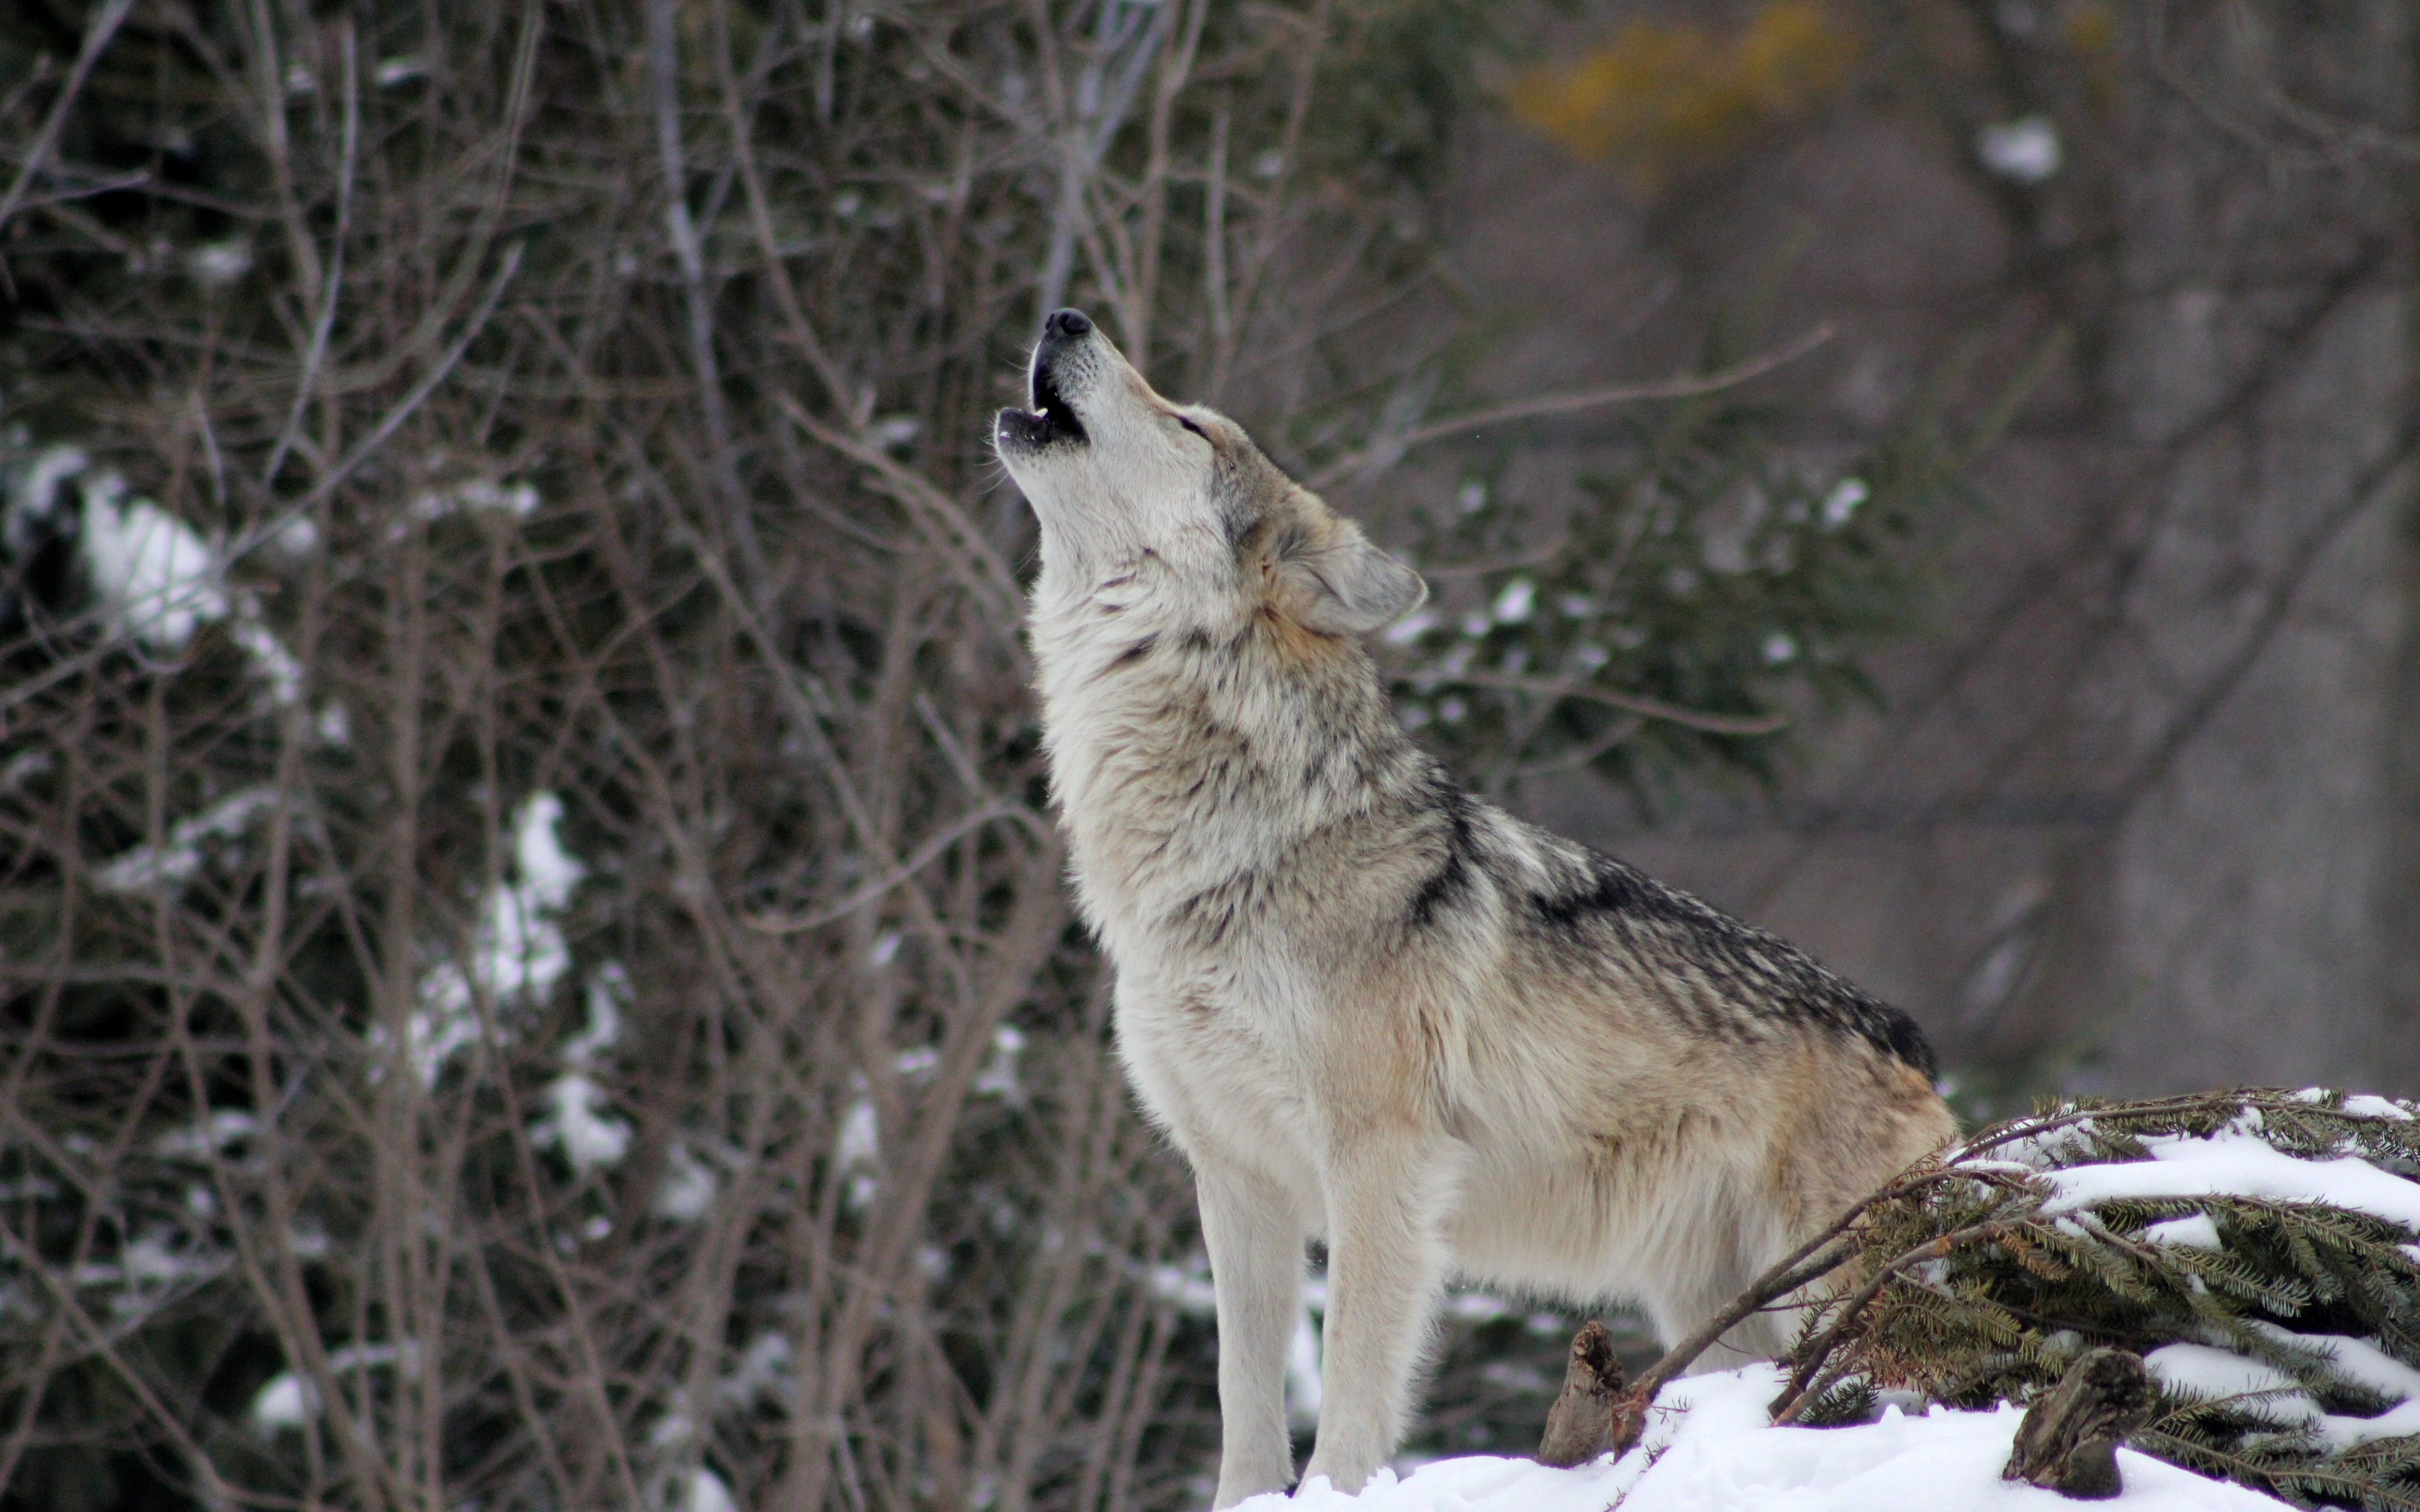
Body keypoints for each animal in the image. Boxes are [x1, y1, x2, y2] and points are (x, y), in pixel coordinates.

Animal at [993, 309, 1955, 1505]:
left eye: (1190, 424)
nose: (1064, 316)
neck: (1231, 850)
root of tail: (1909, 1039)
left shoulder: (1380, 1163)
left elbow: (1352, 1383)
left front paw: (1336, 1492)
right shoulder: (1236, 1177)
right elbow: (1244, 1404)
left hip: (1827, 1288)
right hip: (1717, 1313)